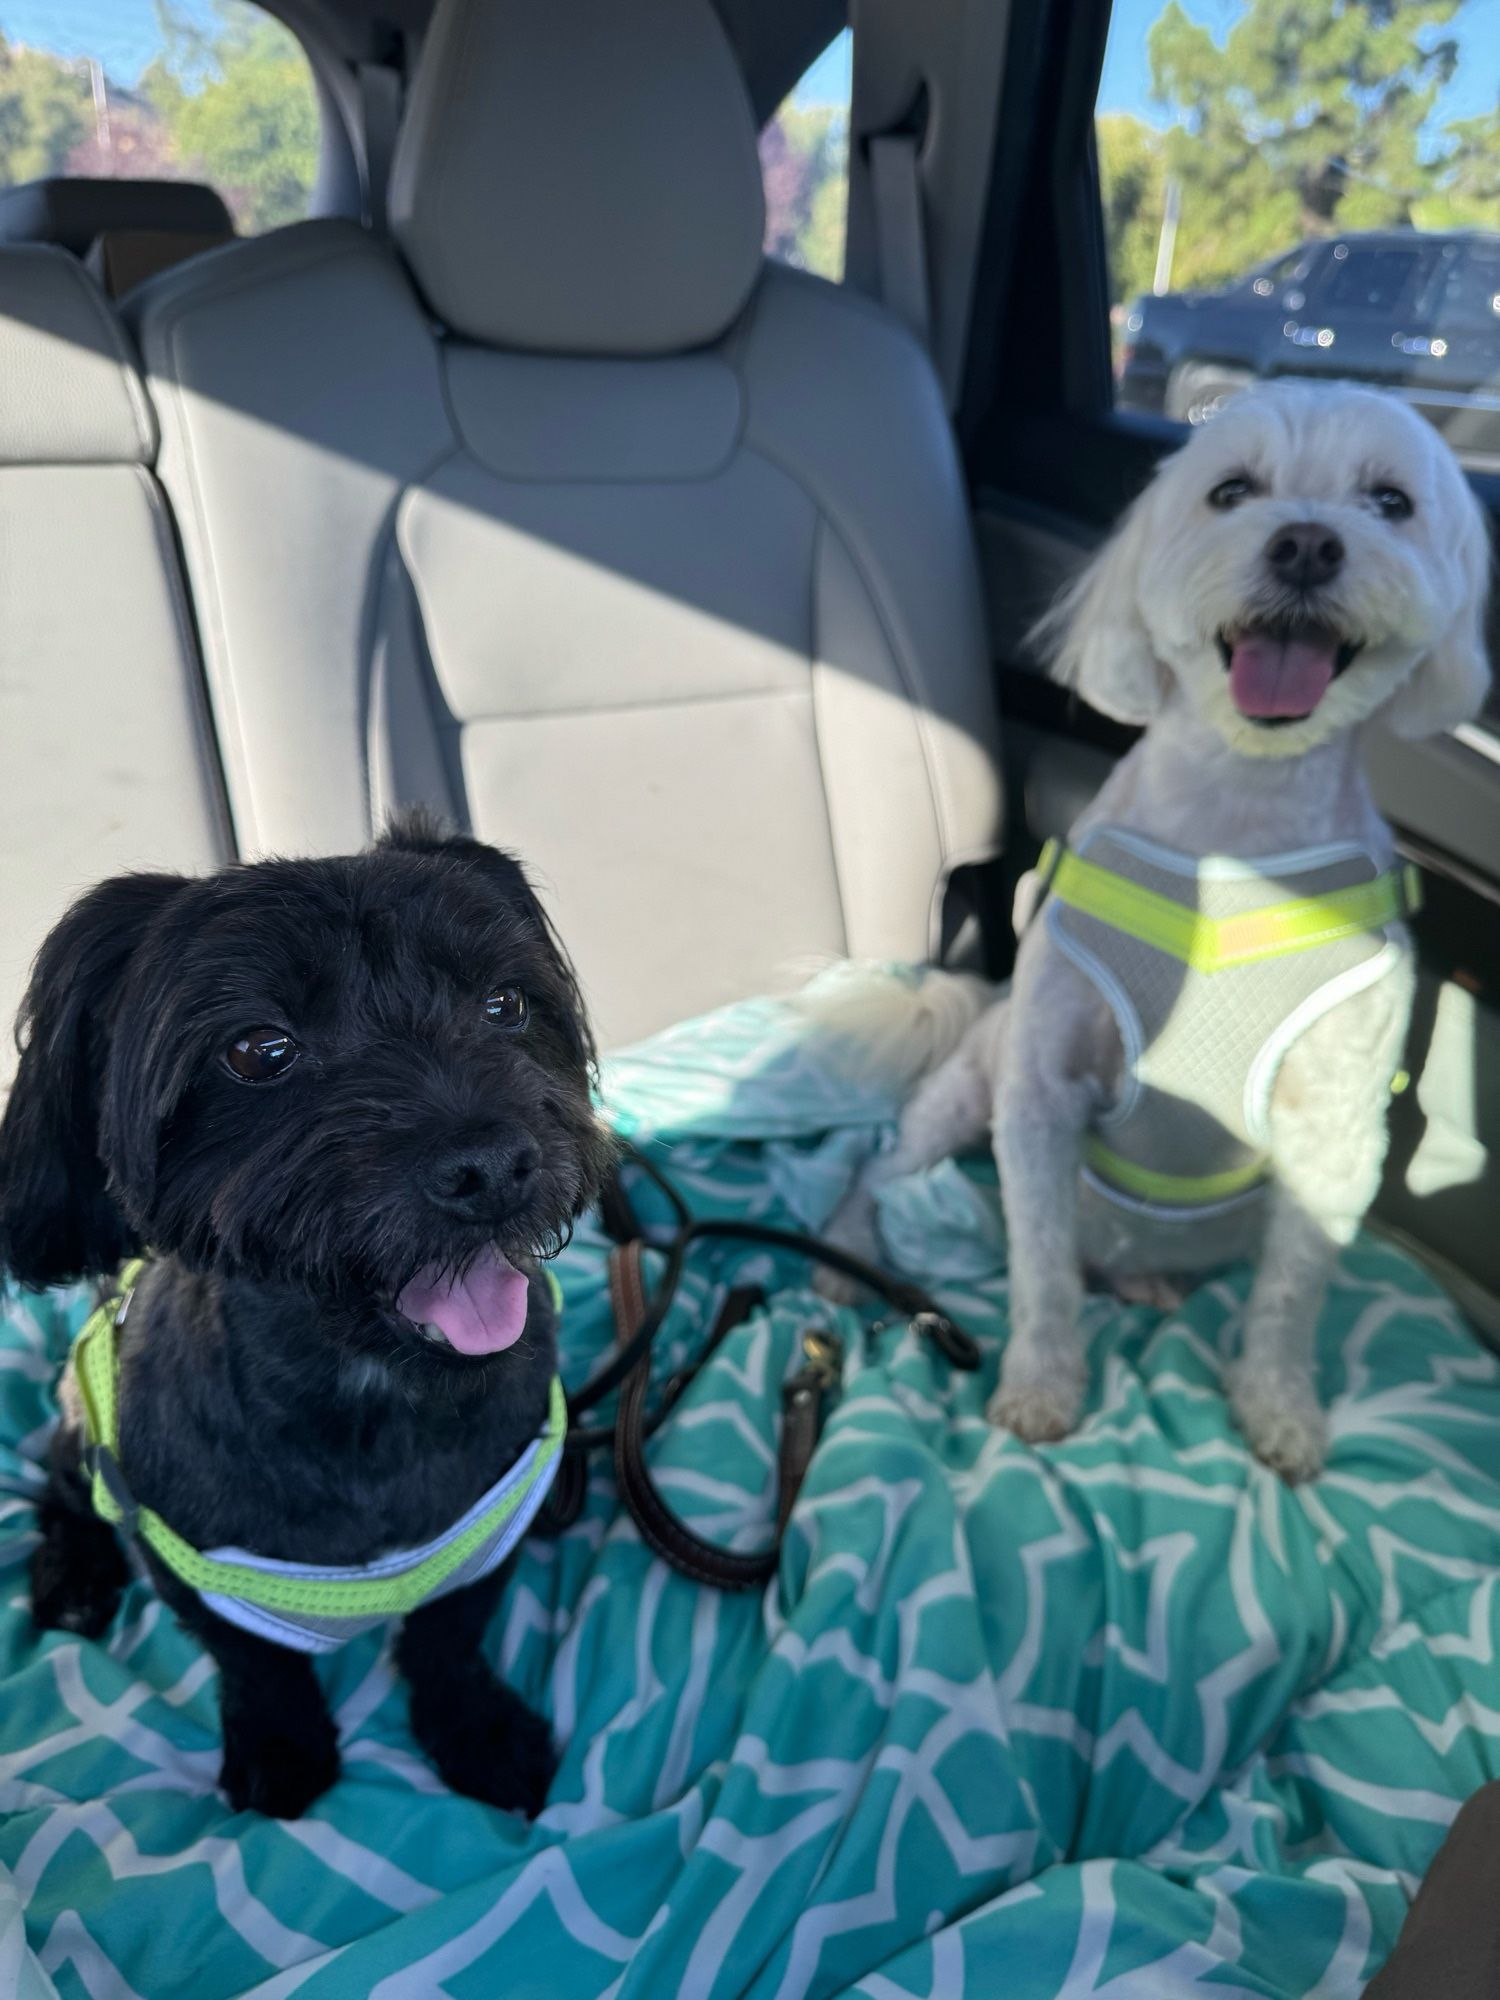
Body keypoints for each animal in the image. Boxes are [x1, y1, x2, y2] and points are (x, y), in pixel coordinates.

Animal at [1, 820, 612, 1824]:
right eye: (259, 1050)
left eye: (506, 1004)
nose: (491, 1166)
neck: (372, 1398)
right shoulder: (195, 1566)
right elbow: (260, 1668)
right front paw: (279, 1748)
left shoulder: (486, 1533)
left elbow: (449, 1639)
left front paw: (478, 1730)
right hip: (80, 1422)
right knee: (62, 1494)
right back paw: (74, 1578)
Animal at [828, 382, 1496, 1480]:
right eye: (1232, 490)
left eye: (1391, 501)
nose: (1308, 544)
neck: (1240, 830)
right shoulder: (1041, 1092)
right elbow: (1041, 1269)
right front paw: (1040, 1387)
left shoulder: (1337, 1127)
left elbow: (1292, 1292)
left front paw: (1278, 1407)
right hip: (964, 1087)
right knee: (882, 1171)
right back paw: (849, 1254)